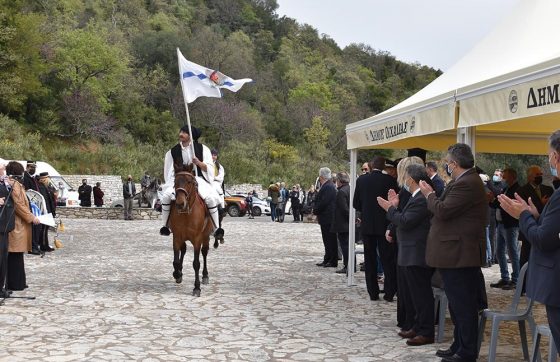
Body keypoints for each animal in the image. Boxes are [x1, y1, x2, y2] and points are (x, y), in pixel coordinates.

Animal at [168, 164, 214, 296]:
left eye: (189, 182)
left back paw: (205, 276)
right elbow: (176, 261)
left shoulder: (197, 239)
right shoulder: (177, 237)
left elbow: (196, 263)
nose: (180, 203)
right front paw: (177, 274)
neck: (186, 213)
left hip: (205, 236)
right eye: (175, 181)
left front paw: (197, 287)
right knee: (183, 250)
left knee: (204, 253)